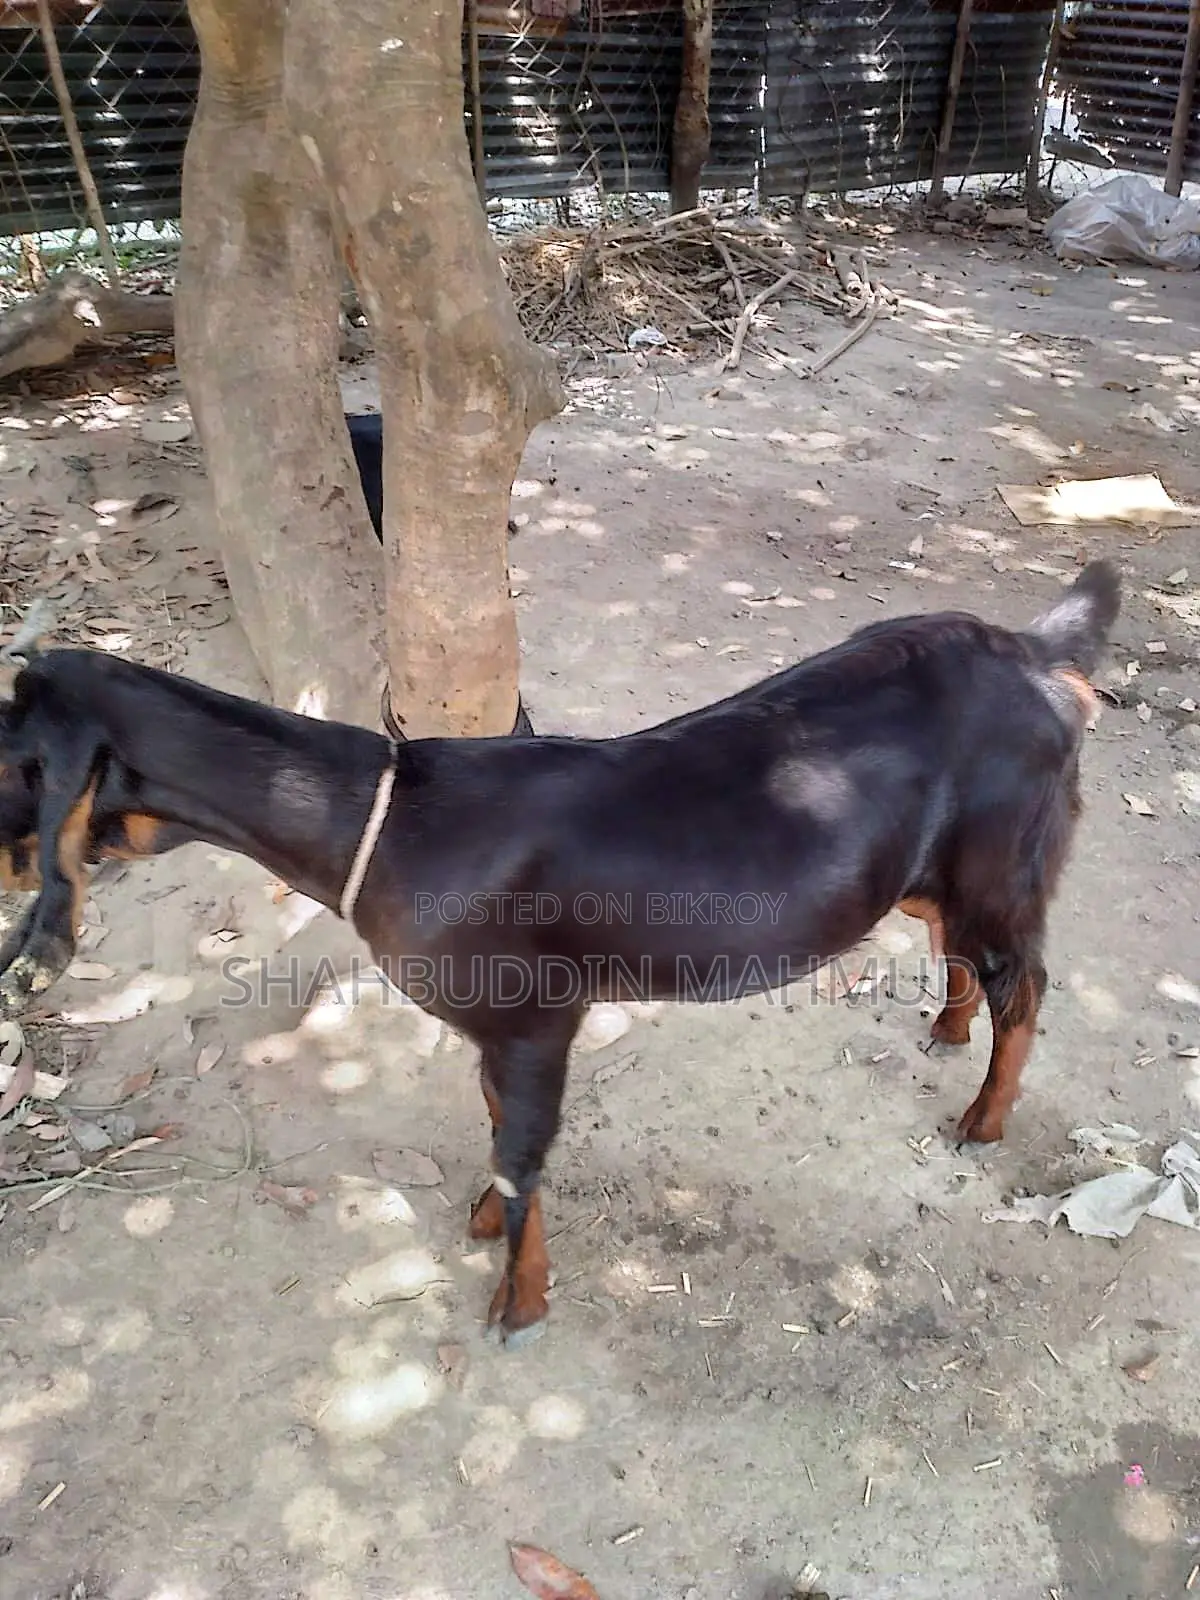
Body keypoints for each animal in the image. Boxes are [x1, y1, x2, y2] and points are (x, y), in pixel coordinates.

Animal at [0, 561, 1120, 1347]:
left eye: (12, 762)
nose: (16, 874)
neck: (390, 822)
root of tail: (1037, 655)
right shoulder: (496, 1035)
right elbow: (501, 1131)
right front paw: (485, 1224)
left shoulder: (536, 1017)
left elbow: (522, 1150)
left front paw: (519, 1302)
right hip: (939, 868)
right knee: (959, 947)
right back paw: (946, 1026)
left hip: (1005, 853)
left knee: (1027, 981)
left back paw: (982, 1118)